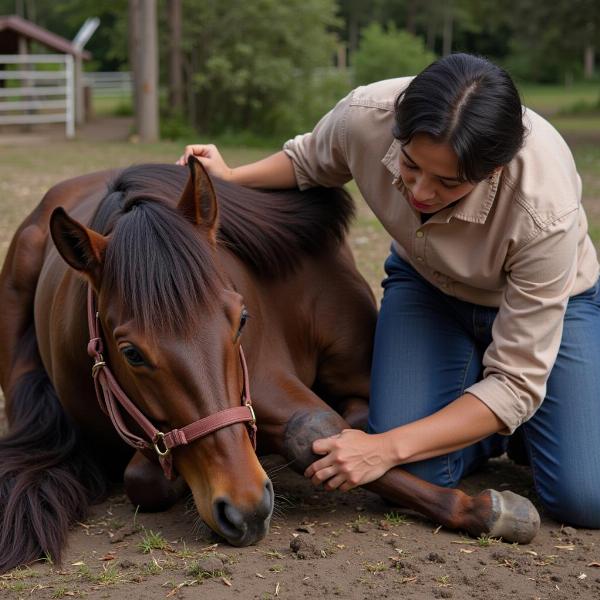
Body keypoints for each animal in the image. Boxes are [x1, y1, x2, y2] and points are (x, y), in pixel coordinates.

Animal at [0, 158, 540, 572]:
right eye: (131, 352)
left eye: (240, 318)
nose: (247, 507)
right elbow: (146, 479)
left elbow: (318, 429)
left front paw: (486, 508)